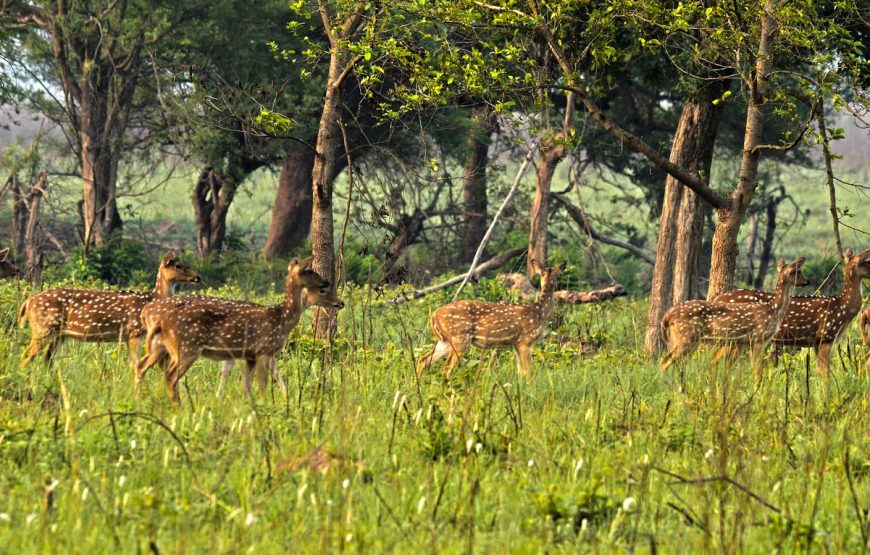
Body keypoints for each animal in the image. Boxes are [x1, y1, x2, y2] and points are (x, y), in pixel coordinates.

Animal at [17, 254, 200, 372]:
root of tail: (28, 302)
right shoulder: (134, 332)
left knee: (47, 359)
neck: (150, 299)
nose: (198, 276)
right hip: (43, 327)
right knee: (27, 355)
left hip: (59, 334)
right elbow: (134, 364)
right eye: (178, 265)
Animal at [135, 258, 342, 402]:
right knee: (170, 375)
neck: (281, 320)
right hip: (186, 347)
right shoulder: (263, 349)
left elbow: (248, 386)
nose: (340, 302)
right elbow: (263, 384)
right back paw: (178, 406)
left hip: (159, 346)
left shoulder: (250, 355)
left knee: (142, 366)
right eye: (310, 272)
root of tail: (158, 319)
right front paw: (266, 406)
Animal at [418, 260, 568, 378]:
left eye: (554, 274)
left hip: (444, 341)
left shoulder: (516, 344)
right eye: (543, 274)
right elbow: (528, 373)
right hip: (459, 338)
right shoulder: (526, 341)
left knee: (423, 359)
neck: (539, 313)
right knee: (447, 369)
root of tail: (434, 315)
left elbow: (520, 373)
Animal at [660, 258, 812, 376]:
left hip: (687, 340)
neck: (773, 310)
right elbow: (757, 369)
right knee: (665, 361)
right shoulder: (759, 338)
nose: (807, 281)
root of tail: (667, 316)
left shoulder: (743, 342)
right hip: (685, 337)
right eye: (797, 271)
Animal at [708, 249, 870, 376]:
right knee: (716, 359)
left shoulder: (817, 342)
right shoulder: (826, 336)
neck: (842, 308)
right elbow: (825, 375)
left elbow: (820, 373)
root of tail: (716, 299)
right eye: (866, 262)